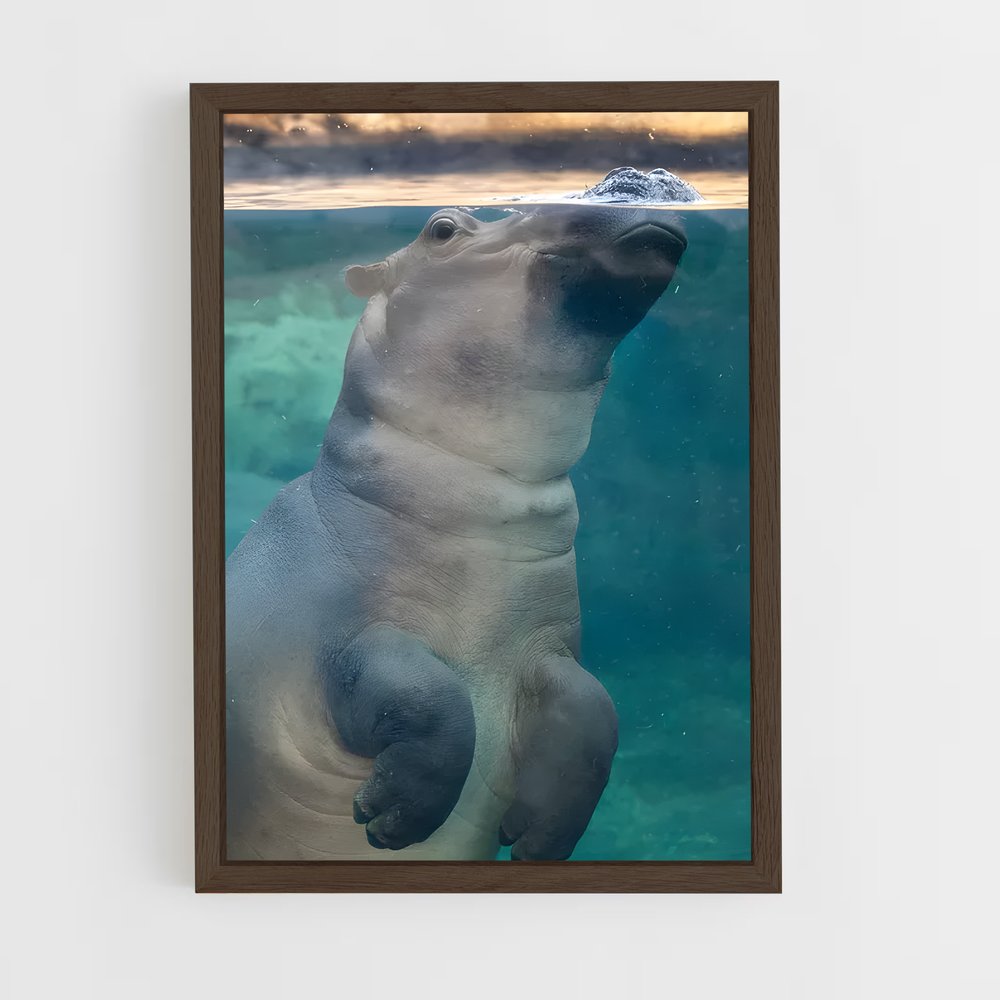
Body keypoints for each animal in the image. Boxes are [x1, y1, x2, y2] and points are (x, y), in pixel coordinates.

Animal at [225, 202, 687, 860]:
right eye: (442, 229)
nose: (621, 193)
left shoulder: (545, 645)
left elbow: (596, 712)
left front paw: (536, 843)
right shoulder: (340, 635)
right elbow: (432, 700)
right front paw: (391, 821)